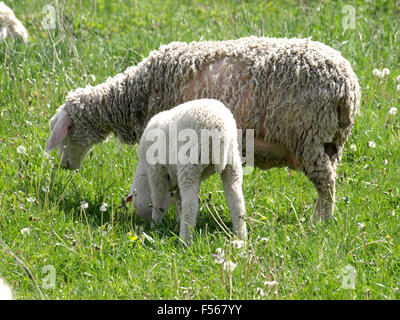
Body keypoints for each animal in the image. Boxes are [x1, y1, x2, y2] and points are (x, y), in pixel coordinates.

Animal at [45, 36, 360, 221]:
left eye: (66, 132)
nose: (63, 165)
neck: (135, 95)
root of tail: (347, 86)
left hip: (309, 135)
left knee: (326, 184)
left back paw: (320, 223)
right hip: (329, 142)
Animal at [125, 99, 248, 244]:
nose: (143, 222)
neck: (143, 174)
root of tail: (219, 128)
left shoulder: (157, 173)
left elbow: (158, 200)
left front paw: (155, 225)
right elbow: (178, 200)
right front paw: (177, 220)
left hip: (190, 164)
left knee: (191, 204)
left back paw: (184, 240)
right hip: (232, 162)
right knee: (236, 199)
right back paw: (241, 236)